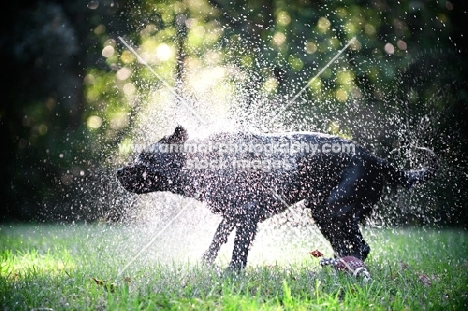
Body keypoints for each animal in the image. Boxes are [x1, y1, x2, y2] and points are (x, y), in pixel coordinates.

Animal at [117, 127, 438, 270]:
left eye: (145, 158)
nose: (119, 171)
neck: (206, 161)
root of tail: (377, 160)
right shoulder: (232, 216)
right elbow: (216, 241)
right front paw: (204, 264)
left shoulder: (247, 215)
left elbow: (238, 252)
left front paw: (231, 275)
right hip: (323, 213)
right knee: (348, 247)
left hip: (335, 209)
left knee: (361, 247)